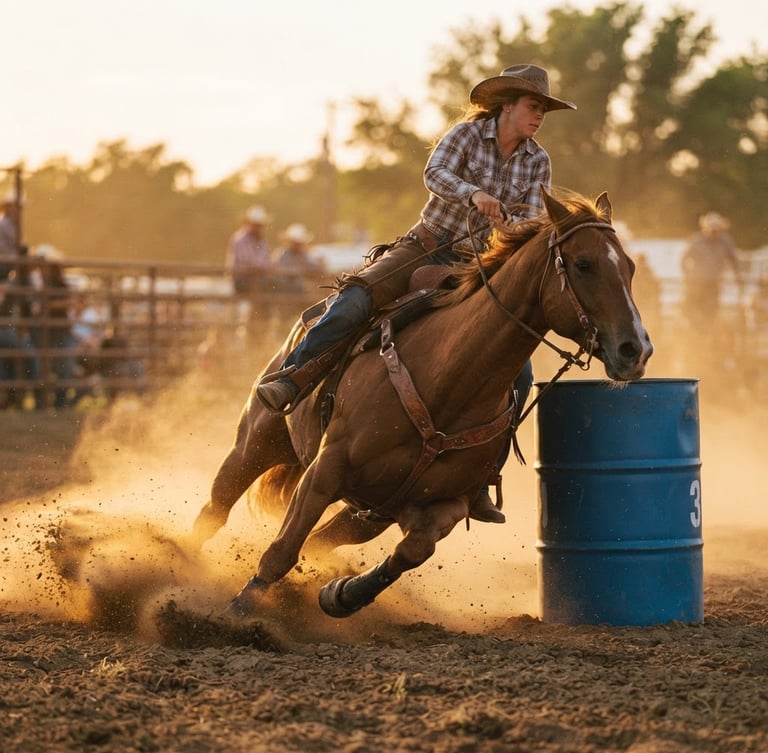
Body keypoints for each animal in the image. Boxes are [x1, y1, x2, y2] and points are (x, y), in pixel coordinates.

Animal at [189, 189, 653, 619]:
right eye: (583, 264)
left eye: (630, 268)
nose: (636, 350)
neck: (447, 380)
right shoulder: (325, 470)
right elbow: (283, 549)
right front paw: (238, 612)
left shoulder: (444, 504)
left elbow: (412, 553)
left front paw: (341, 594)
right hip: (256, 442)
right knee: (216, 509)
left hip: (365, 514)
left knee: (323, 539)